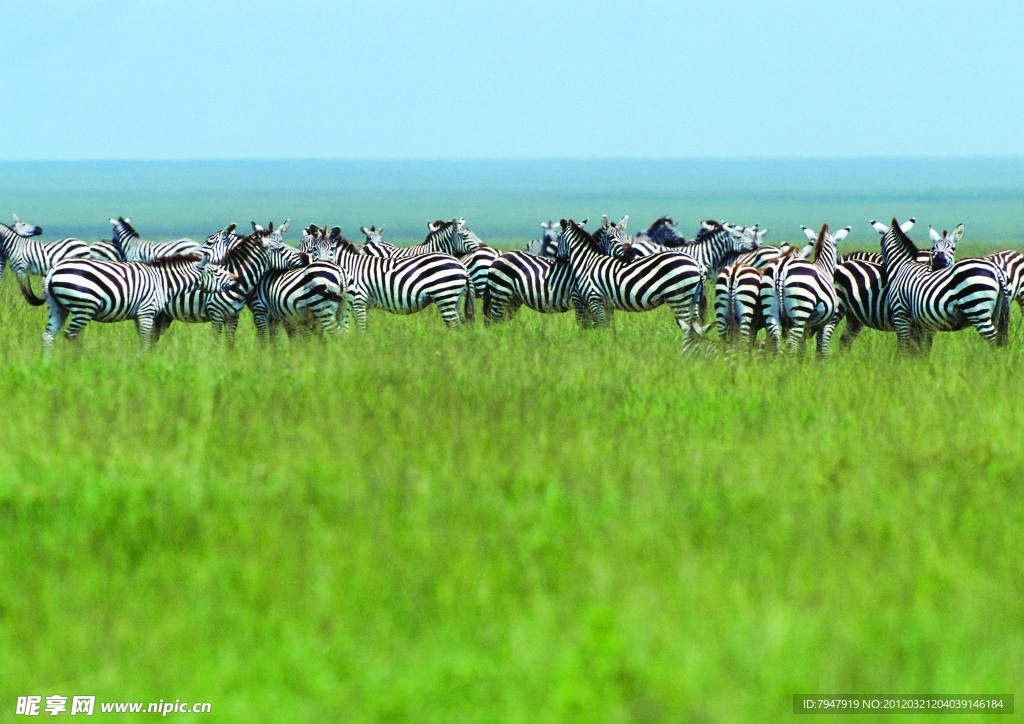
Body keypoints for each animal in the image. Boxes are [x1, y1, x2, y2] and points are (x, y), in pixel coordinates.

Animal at [41, 254, 235, 354]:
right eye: (217, 272)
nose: (236, 281)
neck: (163, 283)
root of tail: (55, 268)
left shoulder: (138, 316)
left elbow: (145, 339)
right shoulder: (146, 312)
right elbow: (146, 339)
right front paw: (143, 362)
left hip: (58, 308)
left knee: (48, 336)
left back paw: (48, 364)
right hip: (84, 307)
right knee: (71, 334)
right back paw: (86, 357)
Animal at [557, 218, 708, 348]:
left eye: (558, 238)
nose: (557, 258)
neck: (587, 261)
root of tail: (696, 263)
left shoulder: (594, 299)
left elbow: (599, 327)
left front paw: (600, 346)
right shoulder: (606, 304)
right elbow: (608, 327)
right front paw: (610, 345)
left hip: (679, 297)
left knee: (688, 328)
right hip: (692, 299)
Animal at [761, 221, 847, 356]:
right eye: (837, 249)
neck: (822, 266)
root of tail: (782, 268)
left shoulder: (806, 327)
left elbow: (803, 347)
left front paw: (803, 360)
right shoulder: (827, 322)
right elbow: (822, 345)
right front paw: (822, 360)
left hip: (770, 309)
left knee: (775, 337)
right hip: (800, 310)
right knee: (792, 343)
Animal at [876, 218, 1011, 354]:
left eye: (880, 242)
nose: (882, 267)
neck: (901, 266)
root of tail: (995, 268)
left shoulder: (901, 314)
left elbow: (903, 347)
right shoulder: (922, 322)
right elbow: (921, 348)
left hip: (977, 308)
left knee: (993, 338)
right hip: (995, 311)